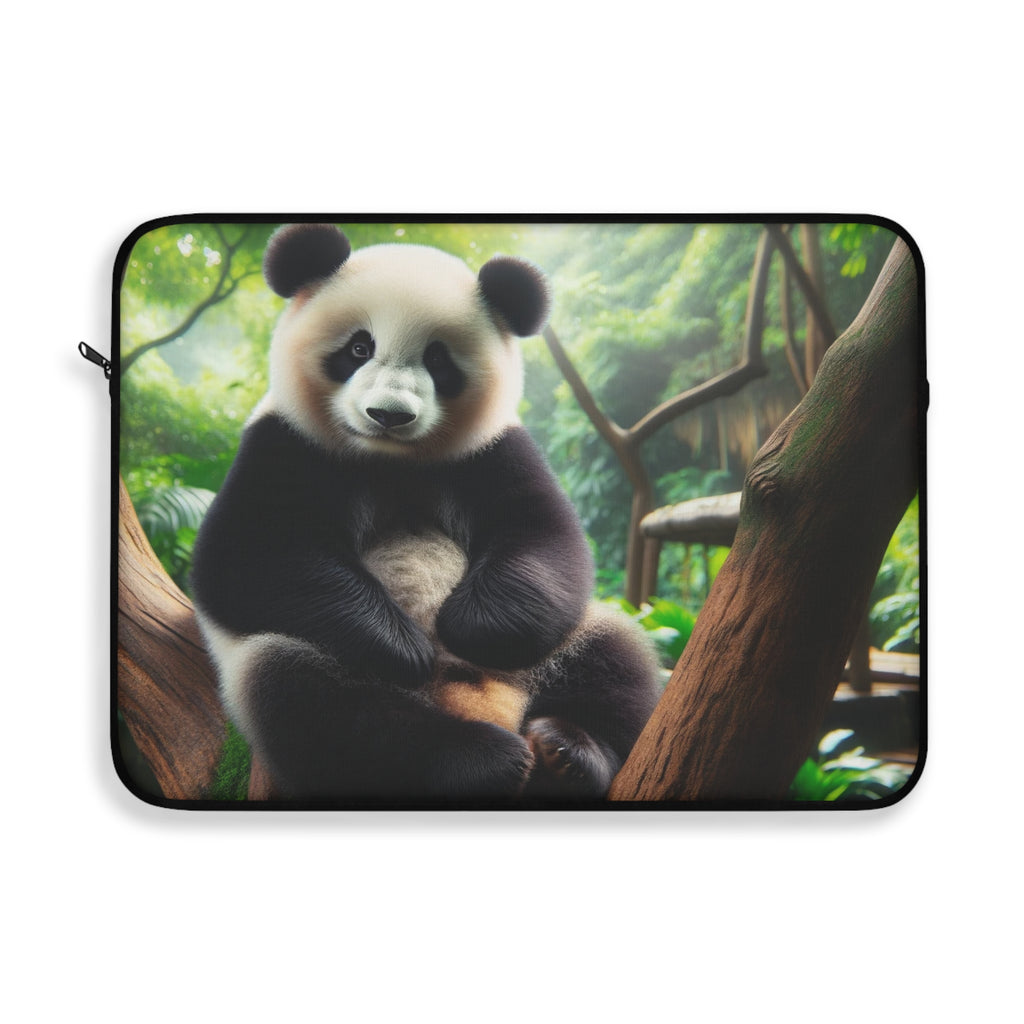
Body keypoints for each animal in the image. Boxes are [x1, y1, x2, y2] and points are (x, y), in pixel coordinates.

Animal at [190, 223, 661, 805]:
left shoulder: (492, 450)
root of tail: (489, 709)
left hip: (562, 647)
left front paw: (465, 626)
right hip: (307, 668)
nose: (388, 415)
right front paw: (405, 645)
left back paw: (569, 753)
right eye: (359, 347)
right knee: (321, 708)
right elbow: (244, 559)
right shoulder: (284, 443)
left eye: (438, 360)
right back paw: (476, 759)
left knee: (613, 656)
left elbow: (543, 539)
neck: (392, 460)